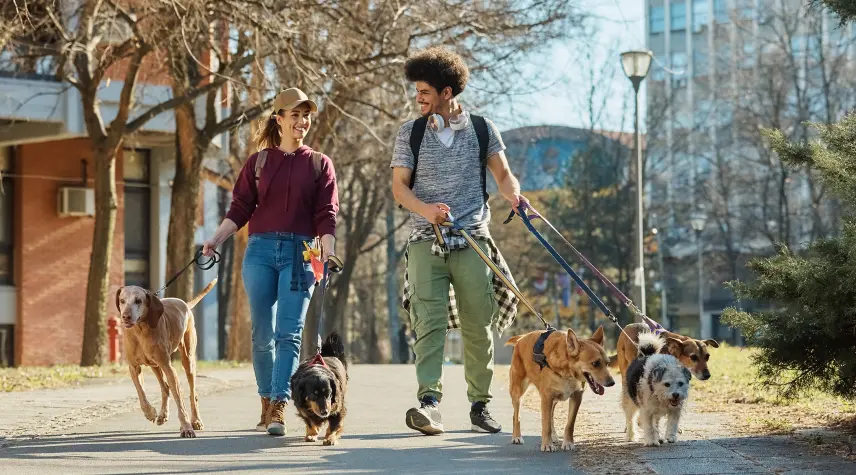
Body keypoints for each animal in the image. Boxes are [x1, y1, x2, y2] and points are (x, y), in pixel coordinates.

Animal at [114, 278, 217, 438]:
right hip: (155, 365)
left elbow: (180, 401)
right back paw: (163, 415)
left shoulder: (169, 368)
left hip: (188, 360)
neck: (140, 331)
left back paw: (196, 420)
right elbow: (141, 394)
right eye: (122, 300)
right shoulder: (134, 368)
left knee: (192, 393)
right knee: (165, 387)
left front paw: (186, 427)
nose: (126, 316)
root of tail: (185, 304)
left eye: (138, 301)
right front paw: (150, 412)